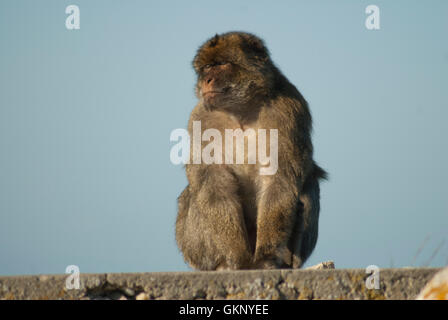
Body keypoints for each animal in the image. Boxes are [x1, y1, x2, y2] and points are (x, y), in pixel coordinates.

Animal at [176, 31, 328, 270]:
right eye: (206, 67)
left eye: (221, 64)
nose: (206, 80)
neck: (241, 111)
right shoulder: (200, 118)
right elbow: (214, 184)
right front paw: (237, 258)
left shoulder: (289, 110)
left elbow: (279, 180)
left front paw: (267, 257)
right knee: (193, 195)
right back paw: (221, 264)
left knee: (309, 186)